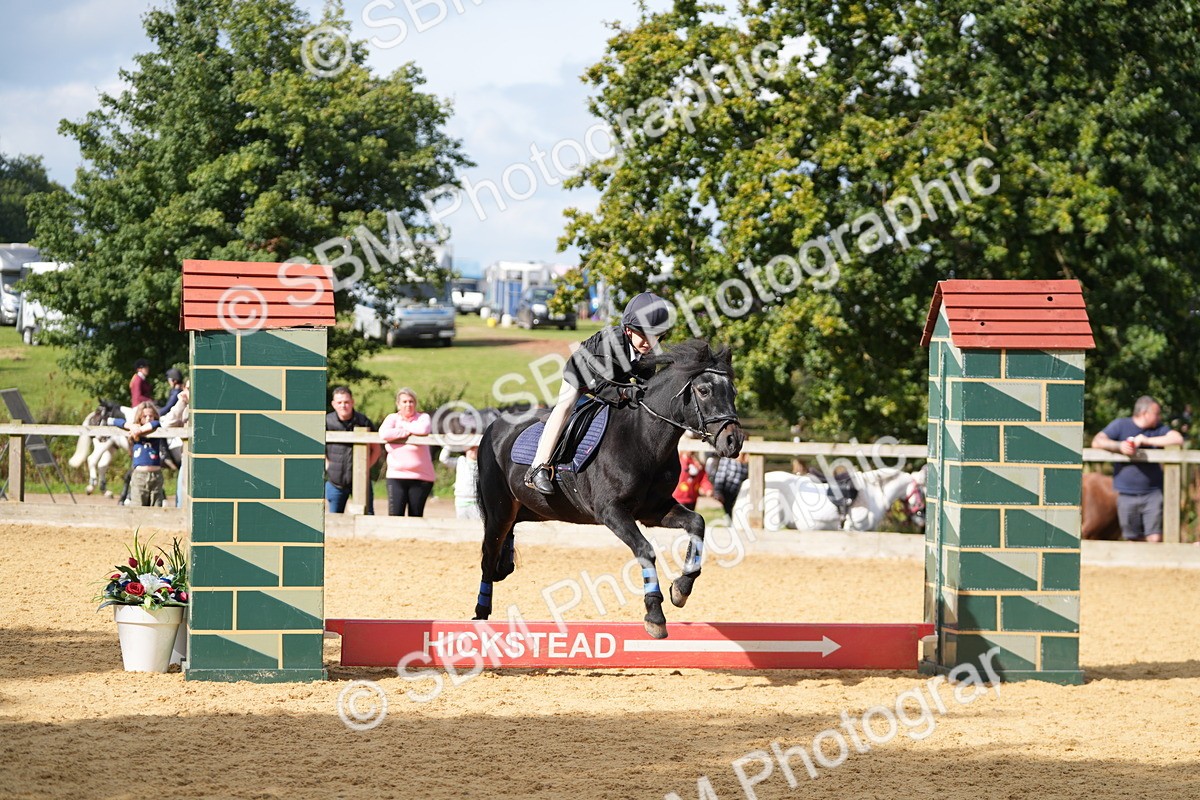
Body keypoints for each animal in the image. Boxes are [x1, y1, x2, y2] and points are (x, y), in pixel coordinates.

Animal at [474, 339, 745, 639]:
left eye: (733, 391)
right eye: (704, 390)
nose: (734, 441)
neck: (645, 439)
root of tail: (493, 426)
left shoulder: (653, 510)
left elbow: (697, 523)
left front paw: (681, 588)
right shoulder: (611, 511)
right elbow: (645, 550)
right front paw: (655, 615)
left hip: (525, 511)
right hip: (499, 512)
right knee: (488, 556)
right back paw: (480, 614)